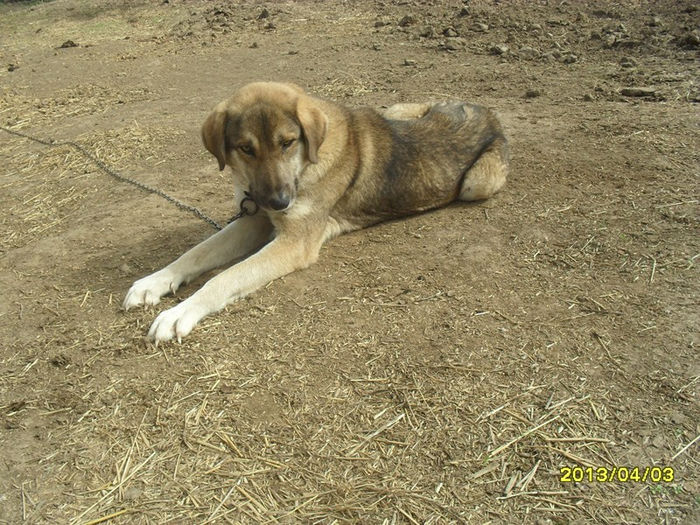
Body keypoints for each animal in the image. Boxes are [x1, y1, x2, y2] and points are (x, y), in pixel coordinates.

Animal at [123, 80, 508, 342]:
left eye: (287, 142)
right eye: (245, 148)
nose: (279, 202)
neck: (305, 167)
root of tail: (487, 111)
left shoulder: (294, 242)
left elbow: (225, 277)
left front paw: (180, 312)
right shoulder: (254, 220)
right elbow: (195, 254)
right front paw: (153, 282)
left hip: (476, 184)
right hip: (395, 111)